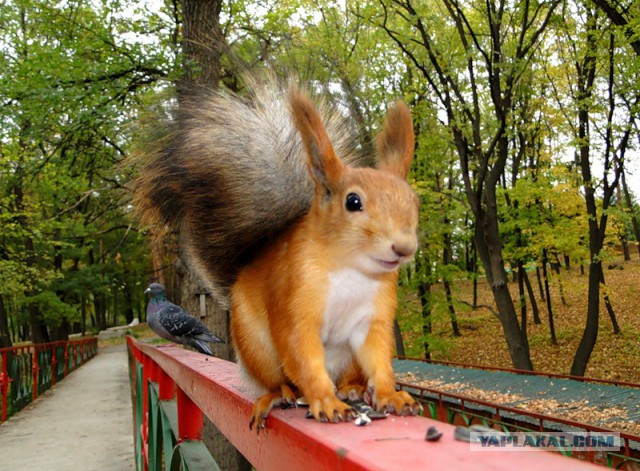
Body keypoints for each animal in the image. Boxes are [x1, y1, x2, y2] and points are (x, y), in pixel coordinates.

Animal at [133, 77, 422, 432]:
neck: (350, 270)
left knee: (349, 374)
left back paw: (352, 388)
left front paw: (390, 395)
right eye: (353, 202)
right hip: (256, 349)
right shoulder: (295, 304)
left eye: (414, 201)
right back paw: (280, 395)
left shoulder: (374, 317)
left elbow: (378, 359)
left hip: (345, 359)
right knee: (279, 379)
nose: (404, 247)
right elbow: (302, 354)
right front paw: (325, 401)